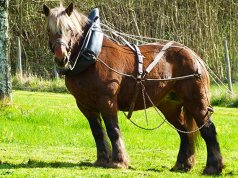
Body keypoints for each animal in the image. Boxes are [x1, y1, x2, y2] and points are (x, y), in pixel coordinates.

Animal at [42, 3, 223, 175]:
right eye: (49, 30)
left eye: (69, 29)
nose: (61, 58)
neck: (92, 57)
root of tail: (195, 56)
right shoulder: (85, 105)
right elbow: (97, 132)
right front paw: (102, 160)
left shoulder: (107, 101)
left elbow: (113, 130)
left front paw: (118, 161)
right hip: (170, 105)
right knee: (184, 132)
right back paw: (182, 164)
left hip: (197, 101)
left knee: (208, 130)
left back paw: (213, 167)